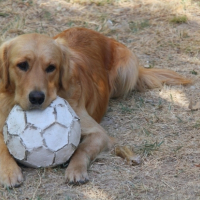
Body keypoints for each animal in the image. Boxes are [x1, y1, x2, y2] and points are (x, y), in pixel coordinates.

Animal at [0, 27, 191, 187]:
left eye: (51, 67)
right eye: (22, 65)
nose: (37, 98)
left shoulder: (97, 133)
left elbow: (82, 149)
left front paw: (76, 170)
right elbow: (3, 146)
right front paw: (9, 172)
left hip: (125, 71)